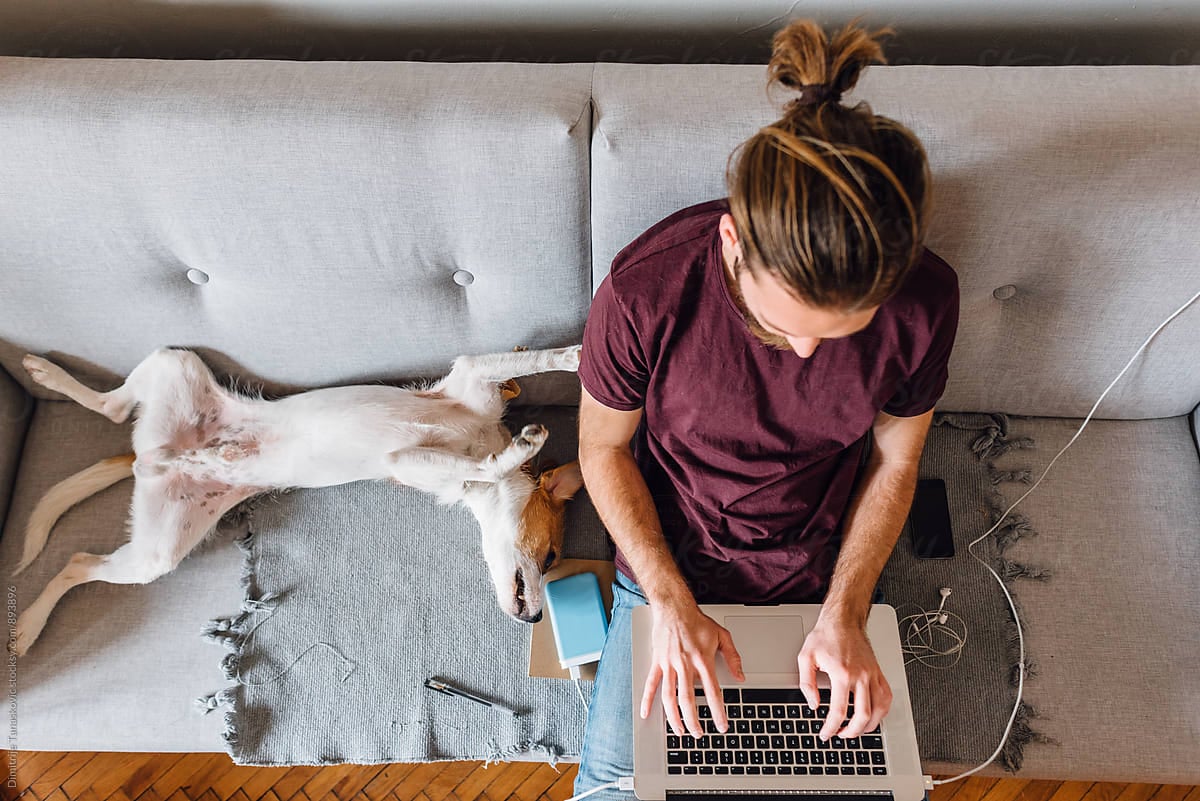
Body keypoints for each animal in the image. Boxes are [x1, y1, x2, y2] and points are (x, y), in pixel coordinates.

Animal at [10, 345, 585, 657]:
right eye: (551, 557)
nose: (536, 621)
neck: (482, 438)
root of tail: (152, 455)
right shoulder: (459, 394)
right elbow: (530, 371)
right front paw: (568, 365)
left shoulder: (412, 464)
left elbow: (482, 465)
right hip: (176, 376)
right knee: (103, 436)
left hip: (161, 544)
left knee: (81, 548)